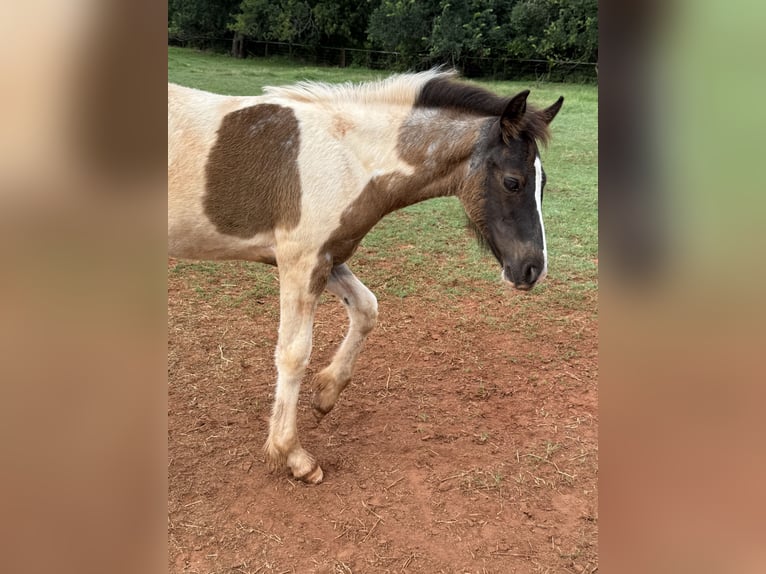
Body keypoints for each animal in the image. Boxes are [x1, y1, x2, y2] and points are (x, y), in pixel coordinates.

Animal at [168, 69, 563, 484]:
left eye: (544, 183)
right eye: (512, 182)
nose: (533, 269)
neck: (347, 158)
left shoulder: (329, 257)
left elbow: (366, 309)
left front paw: (326, 393)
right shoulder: (301, 261)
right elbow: (294, 354)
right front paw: (293, 455)